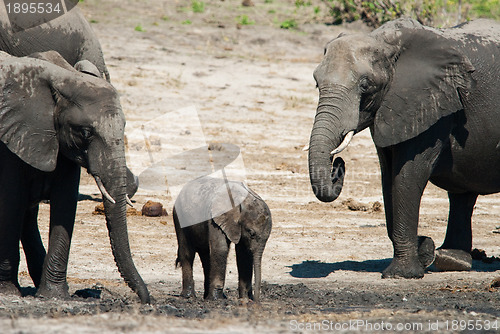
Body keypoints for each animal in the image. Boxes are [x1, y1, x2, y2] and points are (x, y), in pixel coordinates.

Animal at [0, 51, 150, 304]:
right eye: (86, 132)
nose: (146, 300)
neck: (61, 77)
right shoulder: (8, 138)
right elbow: (10, 203)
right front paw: (8, 292)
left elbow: (65, 203)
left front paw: (54, 296)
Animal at [308, 18, 500, 280]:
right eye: (317, 83)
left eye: (365, 85)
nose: (338, 164)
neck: (385, 42)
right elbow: (388, 177)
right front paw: (424, 252)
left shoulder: (429, 105)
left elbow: (408, 176)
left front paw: (401, 274)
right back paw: (450, 259)